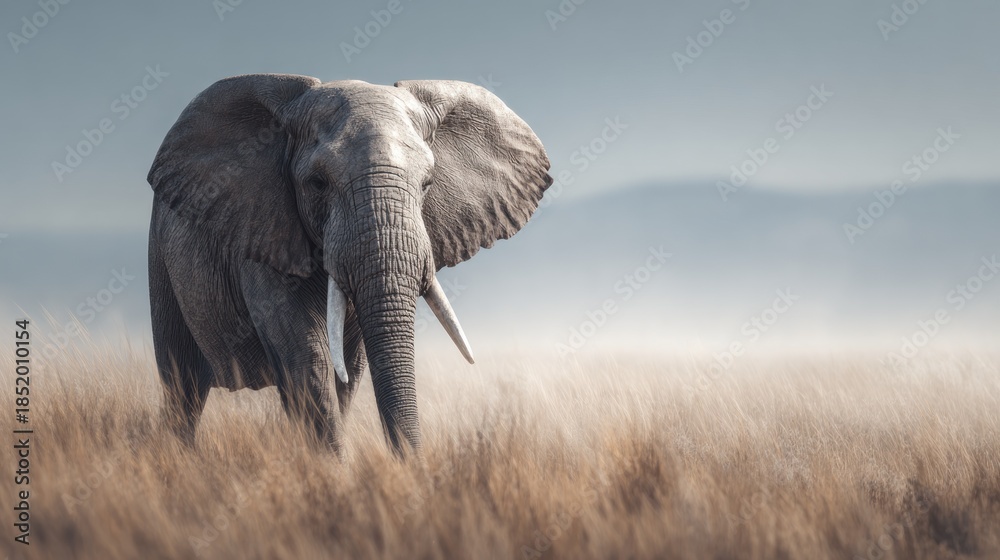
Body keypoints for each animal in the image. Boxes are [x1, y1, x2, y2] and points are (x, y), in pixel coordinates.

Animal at [146, 74, 551, 458]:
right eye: (318, 183)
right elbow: (309, 356)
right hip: (160, 258)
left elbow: (350, 367)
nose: (412, 468)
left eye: (428, 184)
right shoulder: (263, 229)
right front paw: (334, 472)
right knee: (182, 384)